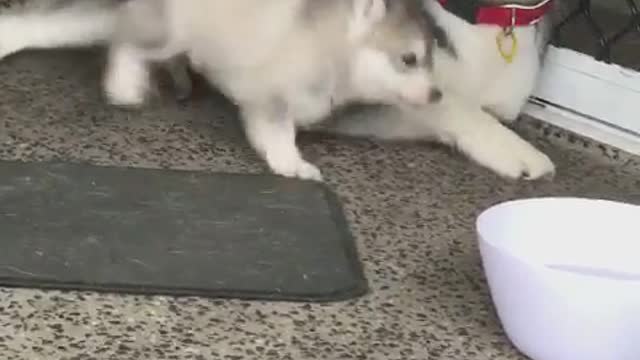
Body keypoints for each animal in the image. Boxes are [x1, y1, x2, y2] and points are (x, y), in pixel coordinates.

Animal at [0, 0, 442, 180]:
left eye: (431, 58)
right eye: (409, 59)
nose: (438, 95)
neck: (331, 47)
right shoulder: (268, 96)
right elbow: (278, 136)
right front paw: (293, 164)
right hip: (175, 30)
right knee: (127, 43)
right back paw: (125, 84)